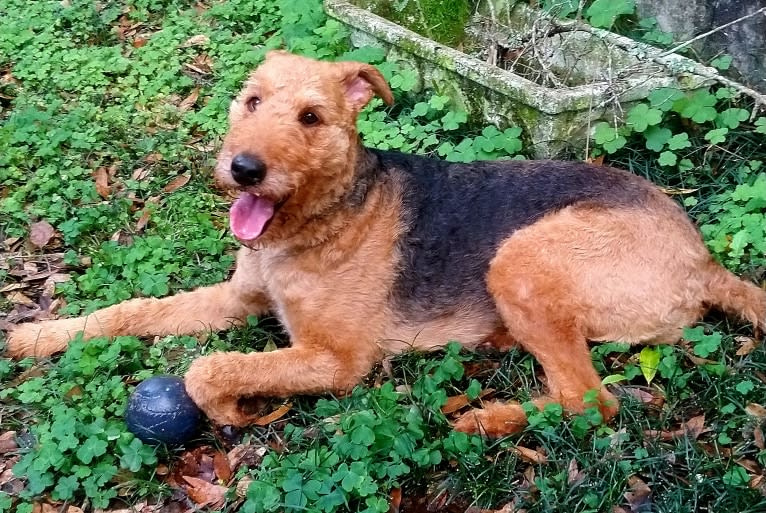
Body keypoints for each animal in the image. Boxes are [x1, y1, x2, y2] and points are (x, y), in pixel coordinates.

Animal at [6, 53, 766, 436]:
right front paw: (39, 335)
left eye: (311, 118)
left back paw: (484, 417)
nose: (243, 169)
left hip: (520, 259)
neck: (317, 222)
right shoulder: (237, 298)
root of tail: (704, 259)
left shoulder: (336, 360)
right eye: (251, 101)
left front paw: (226, 409)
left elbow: (208, 369)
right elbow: (129, 311)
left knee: (592, 403)